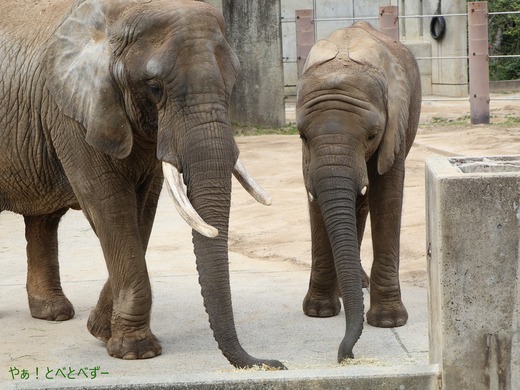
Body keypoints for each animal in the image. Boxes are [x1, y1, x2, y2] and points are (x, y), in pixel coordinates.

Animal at [0, 0, 284, 368]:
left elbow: (143, 210)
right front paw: (136, 352)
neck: (115, 18)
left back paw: (54, 313)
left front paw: (100, 331)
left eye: (232, 84)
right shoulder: (71, 114)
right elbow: (109, 206)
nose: (273, 363)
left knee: (43, 220)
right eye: (155, 87)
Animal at [294, 21, 420, 362]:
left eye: (373, 135)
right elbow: (317, 203)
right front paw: (319, 312)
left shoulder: (396, 127)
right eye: (301, 135)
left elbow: (387, 197)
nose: (345, 355)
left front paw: (390, 321)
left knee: (364, 203)